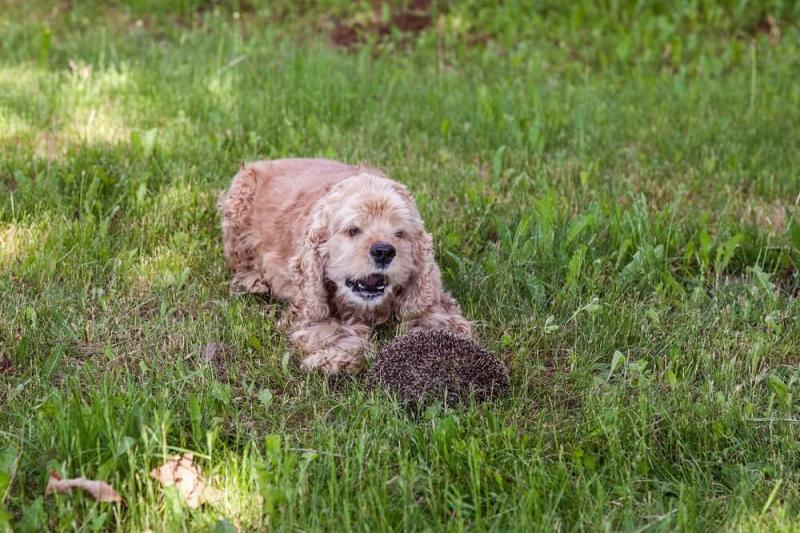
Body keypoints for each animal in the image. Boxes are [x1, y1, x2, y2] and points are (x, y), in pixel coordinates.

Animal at [217, 158, 468, 374]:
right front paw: (336, 357)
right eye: (353, 230)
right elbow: (333, 331)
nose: (384, 251)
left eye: (400, 233)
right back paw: (253, 282)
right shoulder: (307, 307)